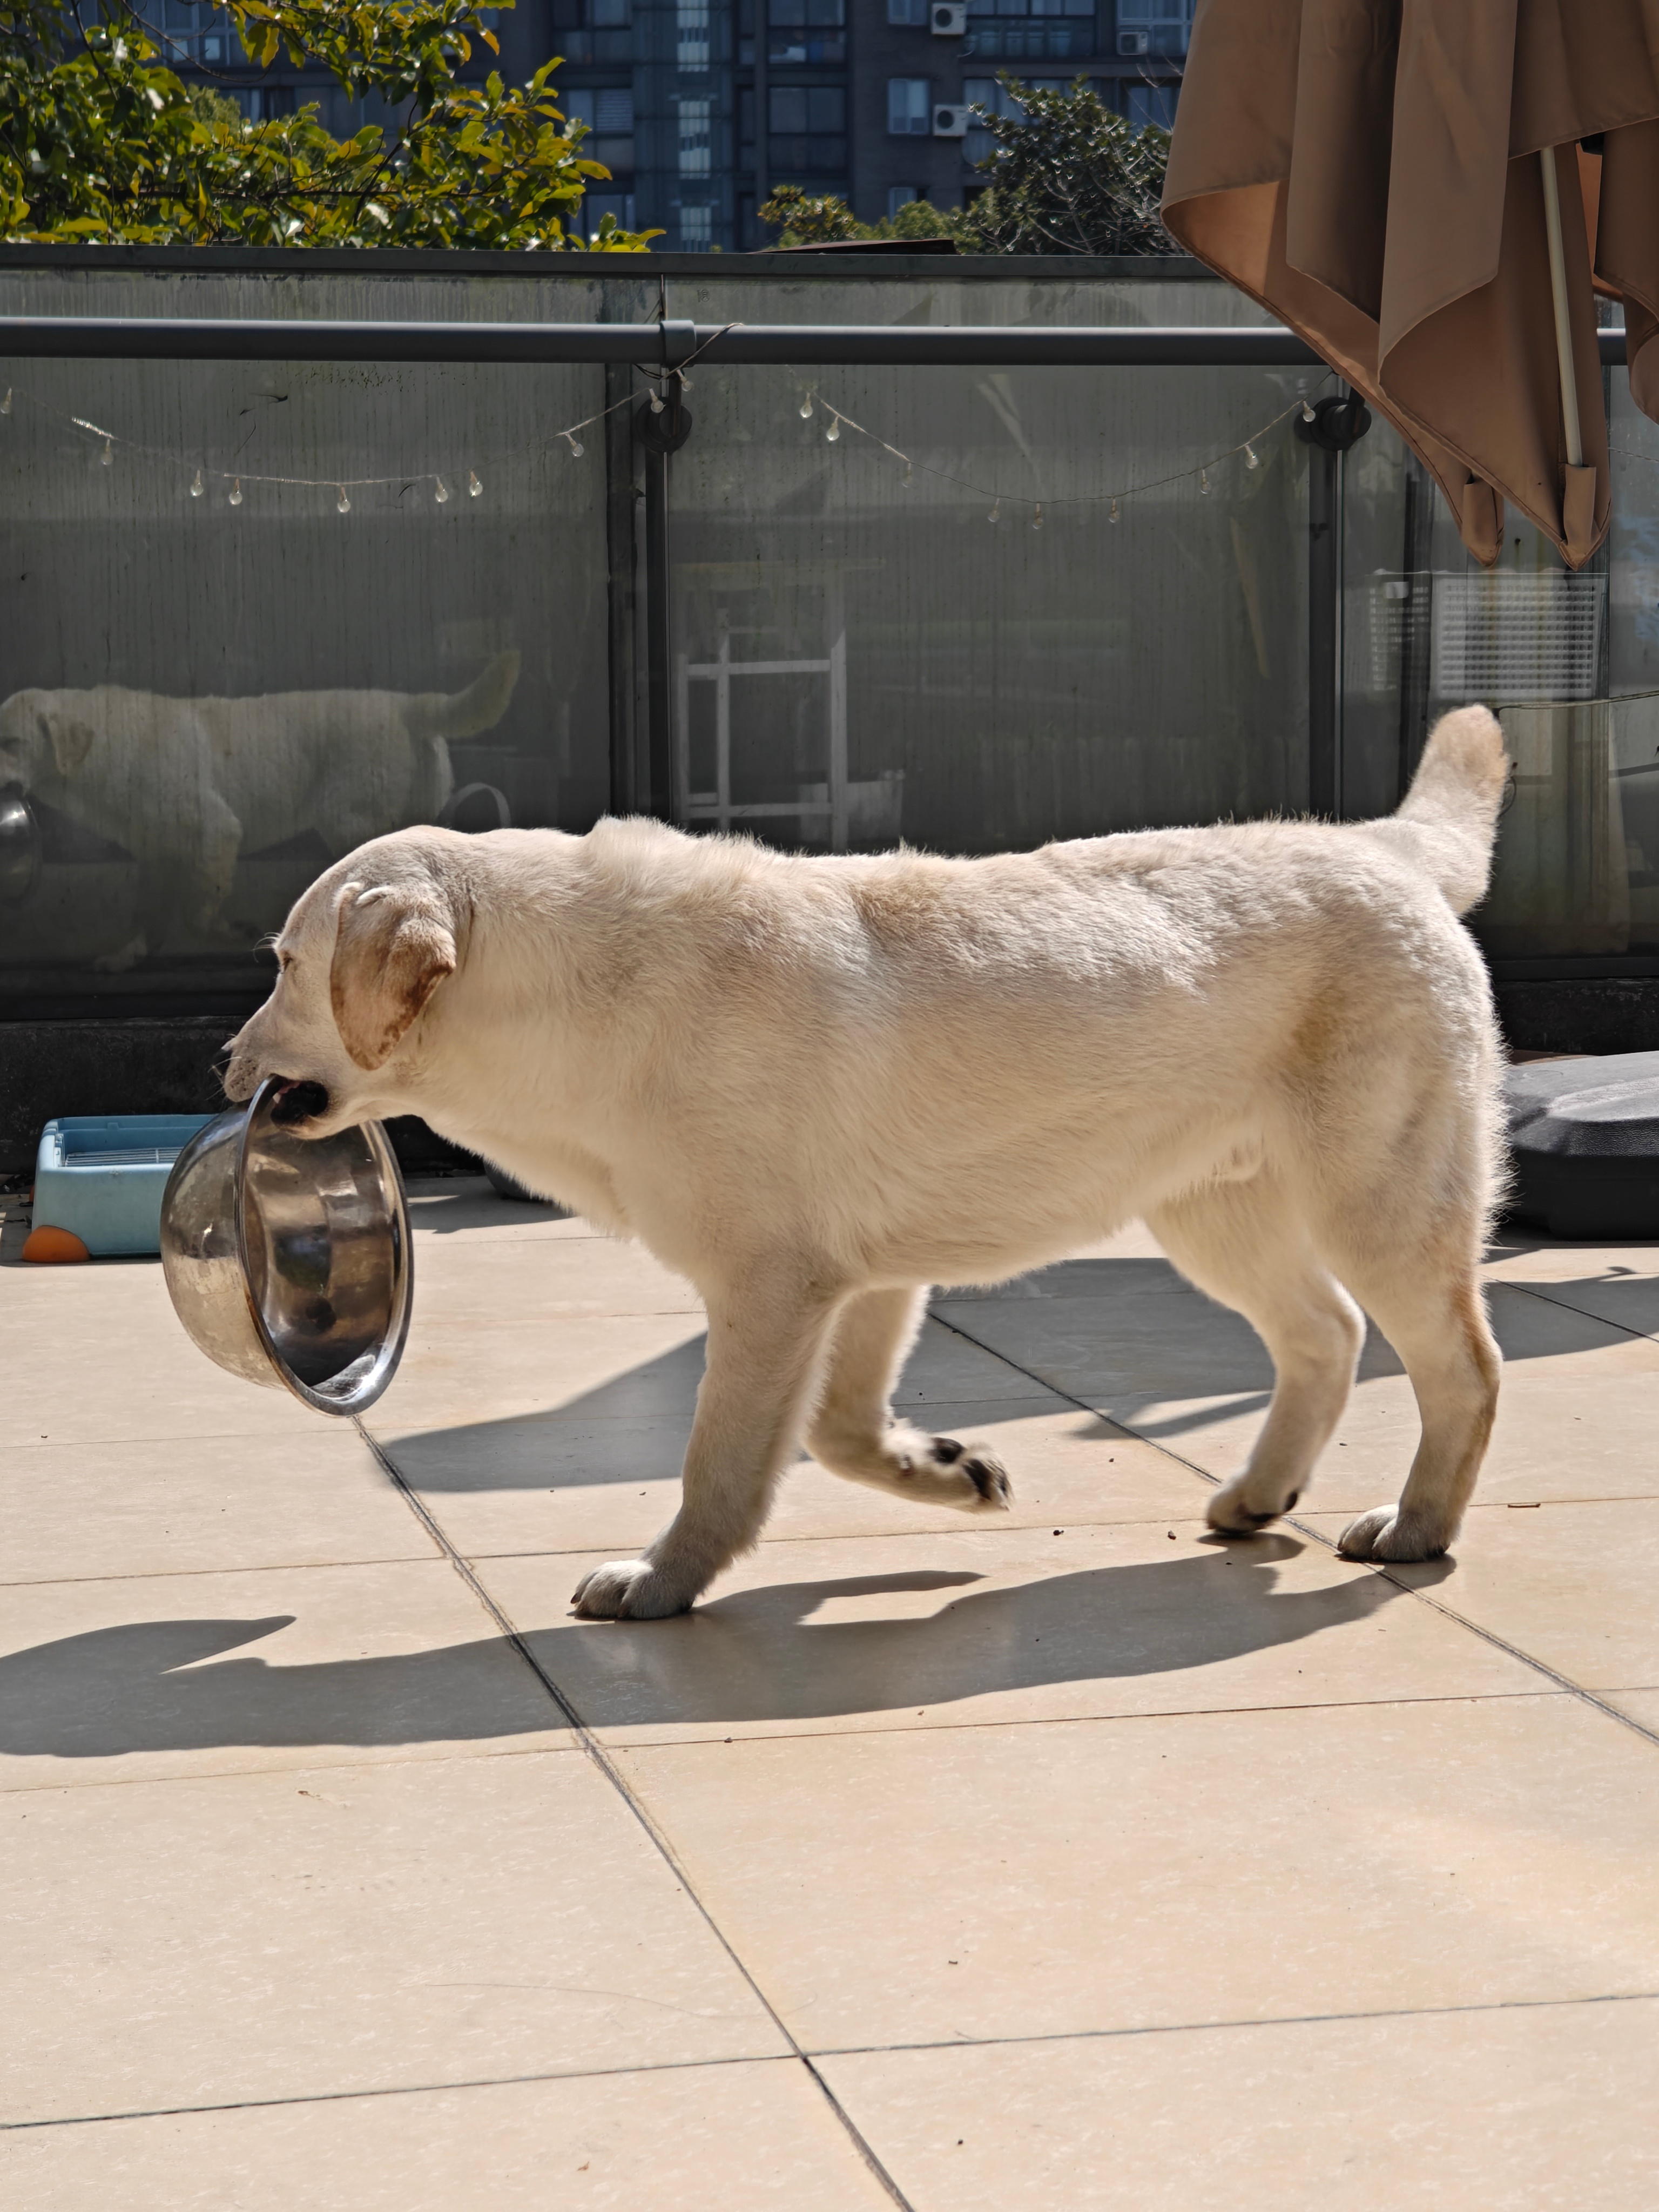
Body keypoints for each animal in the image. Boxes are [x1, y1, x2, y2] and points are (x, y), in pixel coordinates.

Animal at [0, 650, 520, 973]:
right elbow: (147, 914)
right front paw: (126, 956)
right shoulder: (157, 856)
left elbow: (199, 913)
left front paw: (232, 930)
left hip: (347, 821)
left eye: (12, 742)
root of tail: (409, 704)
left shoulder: (215, 831)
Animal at [227, 712, 1513, 1628]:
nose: (218, 1058)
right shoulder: (863, 1281)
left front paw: (663, 1580)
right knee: (1326, 1335)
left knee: (1463, 1364)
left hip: (1378, 1201)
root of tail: (1374, 846)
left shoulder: (768, 1291)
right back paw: (1258, 1495)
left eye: (285, 964)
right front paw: (948, 1469)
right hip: (1214, 1211)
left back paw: (1419, 1524)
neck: (581, 990)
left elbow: (722, 1458)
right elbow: (842, 1433)